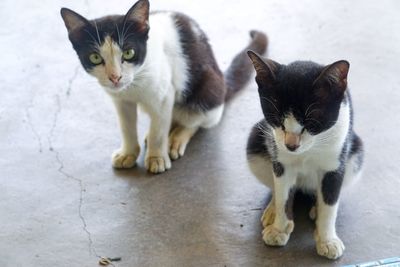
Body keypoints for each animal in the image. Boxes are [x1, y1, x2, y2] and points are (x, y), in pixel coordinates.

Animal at [59, 0, 268, 175]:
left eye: (128, 52)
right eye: (95, 57)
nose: (115, 77)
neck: (133, 84)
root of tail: (223, 82)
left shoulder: (164, 95)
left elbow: (158, 131)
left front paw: (156, 157)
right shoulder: (121, 100)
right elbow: (127, 126)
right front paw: (128, 153)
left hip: (209, 89)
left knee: (196, 119)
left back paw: (176, 137)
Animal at [245, 50, 364, 260]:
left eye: (312, 122)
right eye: (277, 119)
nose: (291, 145)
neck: (310, 148)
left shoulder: (336, 161)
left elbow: (330, 204)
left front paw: (327, 240)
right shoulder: (281, 159)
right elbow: (283, 193)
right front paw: (279, 228)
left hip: (356, 153)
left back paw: (316, 207)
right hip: (256, 139)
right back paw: (272, 209)